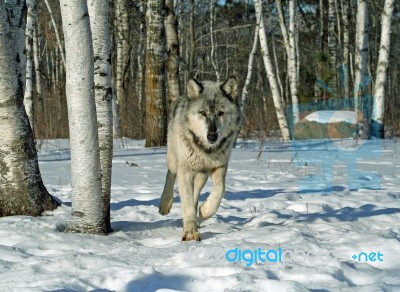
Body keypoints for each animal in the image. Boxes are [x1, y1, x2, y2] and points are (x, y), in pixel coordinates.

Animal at [159, 76, 241, 241]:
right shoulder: (185, 172)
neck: (206, 151)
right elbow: (188, 203)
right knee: (170, 175)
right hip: (174, 161)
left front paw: (205, 211)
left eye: (221, 113)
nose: (212, 136)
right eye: (203, 113)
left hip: (202, 176)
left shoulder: (220, 167)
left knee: (196, 194)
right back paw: (165, 204)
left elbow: (220, 190)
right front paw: (190, 232)